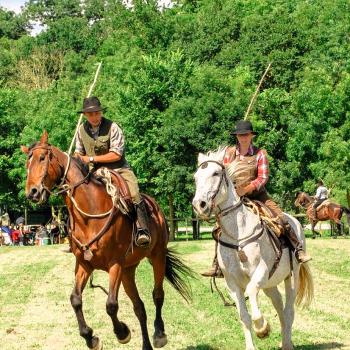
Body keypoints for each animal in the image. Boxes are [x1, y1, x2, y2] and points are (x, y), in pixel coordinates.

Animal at [21, 132, 193, 350]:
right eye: (27, 163)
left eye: (42, 158)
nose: (32, 192)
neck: (89, 214)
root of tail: (157, 209)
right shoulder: (84, 264)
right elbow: (75, 299)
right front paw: (90, 337)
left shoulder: (115, 264)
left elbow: (111, 305)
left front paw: (122, 332)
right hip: (128, 271)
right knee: (139, 307)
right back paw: (146, 344)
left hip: (157, 256)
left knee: (157, 294)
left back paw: (159, 334)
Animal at [193, 148, 314, 350]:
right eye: (195, 177)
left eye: (216, 173)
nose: (199, 205)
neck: (238, 235)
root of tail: (295, 221)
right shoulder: (232, 283)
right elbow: (244, 317)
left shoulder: (261, 271)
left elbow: (250, 291)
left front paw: (263, 328)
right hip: (270, 284)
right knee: (280, 306)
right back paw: (284, 340)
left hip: (292, 277)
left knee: (288, 311)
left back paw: (287, 343)